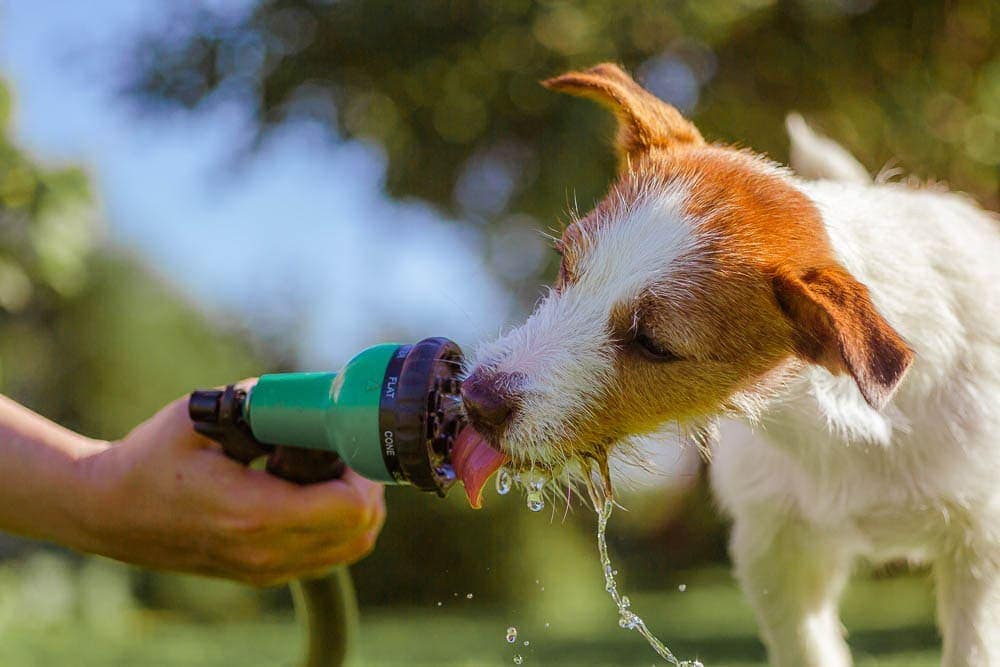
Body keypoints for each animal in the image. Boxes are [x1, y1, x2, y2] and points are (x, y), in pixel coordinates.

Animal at [456, 64, 1000, 667]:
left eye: (653, 343)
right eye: (566, 266)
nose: (477, 400)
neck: (851, 428)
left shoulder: (980, 553)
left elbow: (974, 646)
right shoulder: (773, 551)